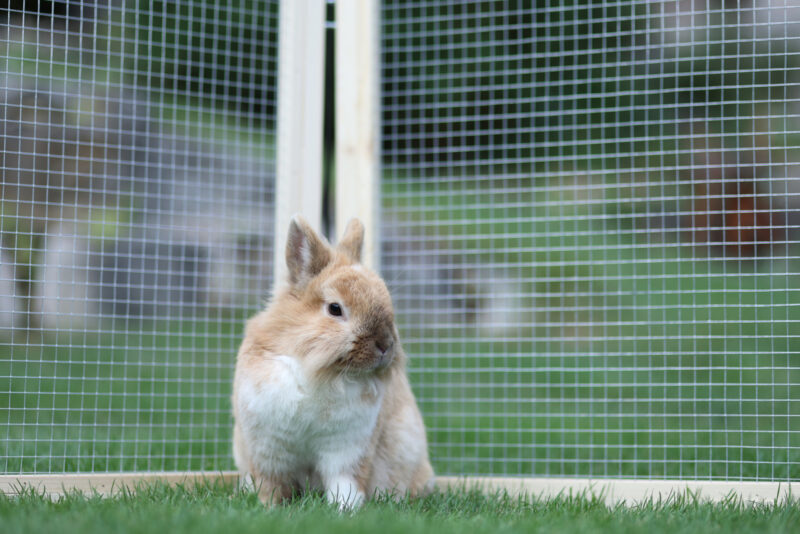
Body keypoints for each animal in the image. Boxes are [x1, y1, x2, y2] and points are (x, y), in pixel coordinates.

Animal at [228, 216, 434, 508]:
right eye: (335, 309)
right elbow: (270, 483)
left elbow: (345, 482)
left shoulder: (349, 449)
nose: (384, 345)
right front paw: (267, 506)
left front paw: (345, 509)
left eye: (387, 301)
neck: (322, 373)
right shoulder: (267, 448)